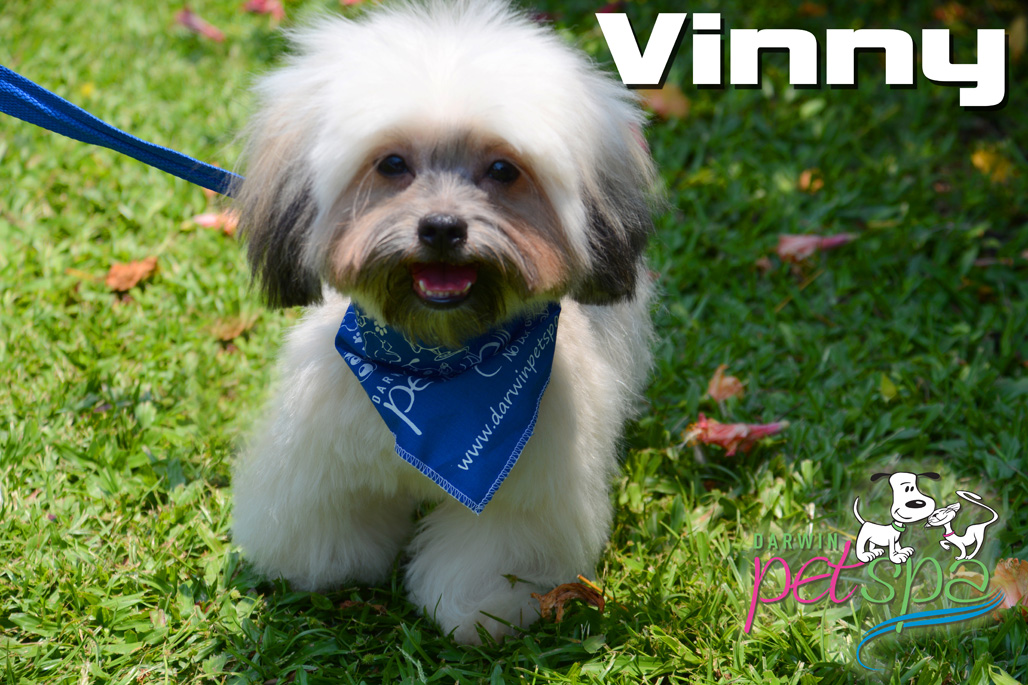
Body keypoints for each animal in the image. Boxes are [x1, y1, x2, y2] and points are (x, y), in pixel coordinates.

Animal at [229, 0, 657, 644]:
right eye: (392, 163)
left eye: (504, 169)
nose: (441, 227)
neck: (434, 367)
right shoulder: (323, 455)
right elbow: (329, 520)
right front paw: (328, 568)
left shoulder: (518, 489)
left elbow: (490, 555)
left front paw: (478, 610)